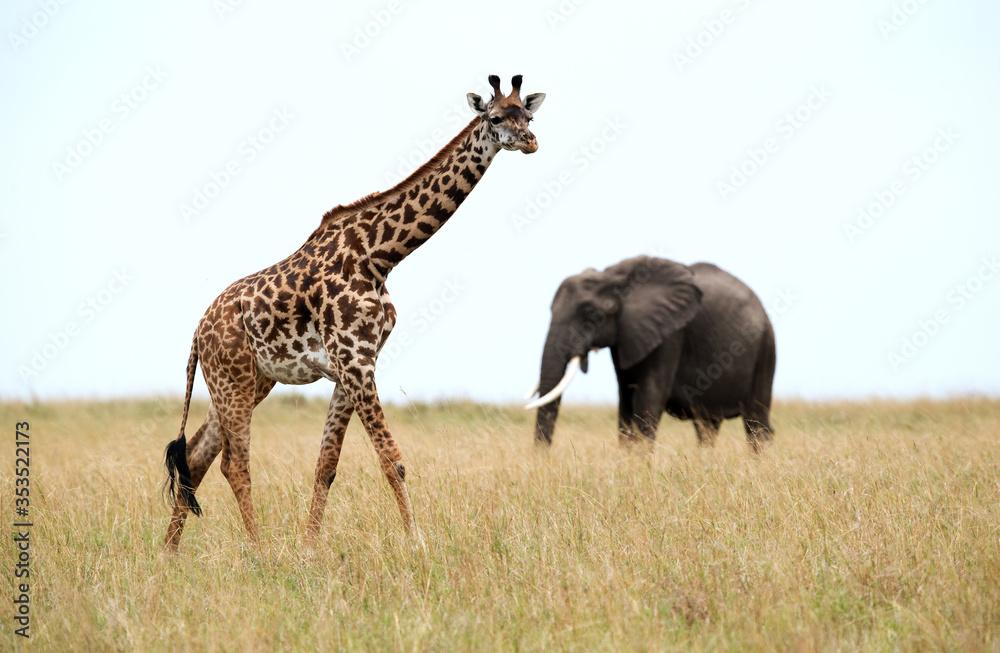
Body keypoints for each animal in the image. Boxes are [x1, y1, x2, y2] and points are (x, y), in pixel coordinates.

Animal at [163, 75, 545, 551]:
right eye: (494, 118)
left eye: (528, 116)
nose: (529, 141)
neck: (380, 256)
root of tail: (198, 332)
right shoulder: (354, 361)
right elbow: (392, 459)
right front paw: (417, 544)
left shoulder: (355, 365)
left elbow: (326, 465)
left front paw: (309, 549)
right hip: (232, 380)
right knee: (232, 464)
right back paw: (259, 550)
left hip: (249, 380)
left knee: (195, 457)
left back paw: (169, 555)